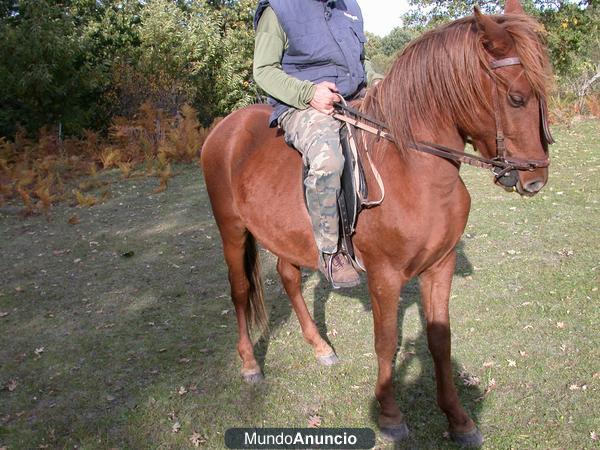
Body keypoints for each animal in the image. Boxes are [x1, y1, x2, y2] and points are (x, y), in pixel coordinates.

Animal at [202, 0, 552, 442]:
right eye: (518, 98)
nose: (536, 179)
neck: (413, 167)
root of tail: (224, 130)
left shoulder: (441, 266)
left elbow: (440, 340)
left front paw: (459, 419)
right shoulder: (385, 276)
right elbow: (386, 341)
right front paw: (389, 415)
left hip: (283, 235)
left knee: (289, 278)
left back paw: (320, 347)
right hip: (231, 230)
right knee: (240, 290)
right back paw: (250, 364)